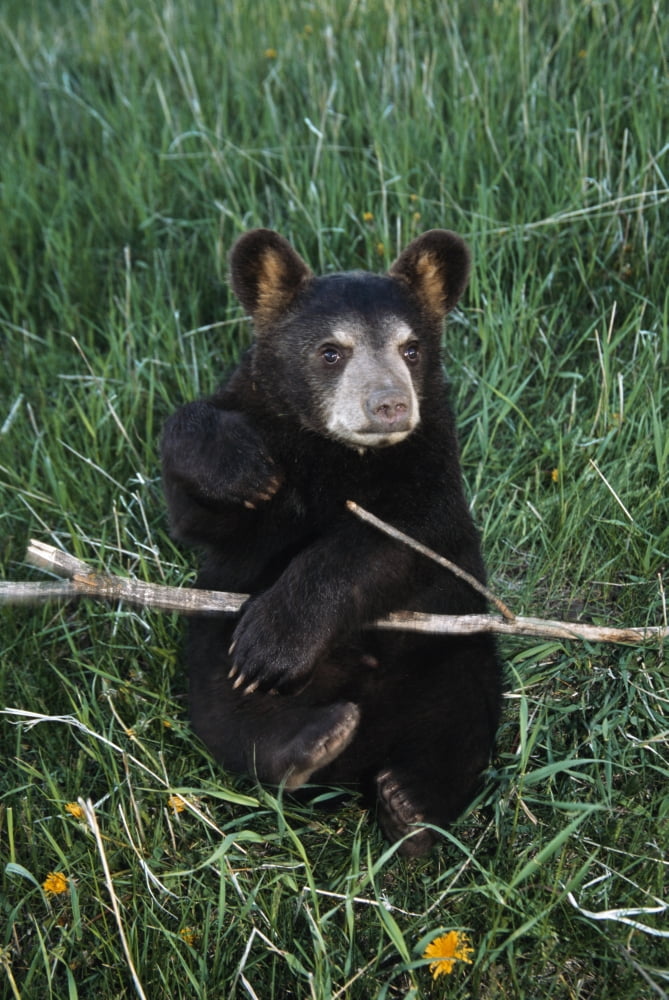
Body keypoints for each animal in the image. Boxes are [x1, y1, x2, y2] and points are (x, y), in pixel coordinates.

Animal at [161, 228, 502, 857]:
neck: (339, 453)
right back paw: (313, 741)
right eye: (330, 352)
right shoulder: (260, 435)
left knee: (462, 718)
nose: (389, 406)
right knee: (231, 717)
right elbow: (198, 510)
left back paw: (411, 807)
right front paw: (241, 467)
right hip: (208, 662)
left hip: (454, 652)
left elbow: (393, 540)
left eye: (411, 349)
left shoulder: (431, 469)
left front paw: (273, 641)